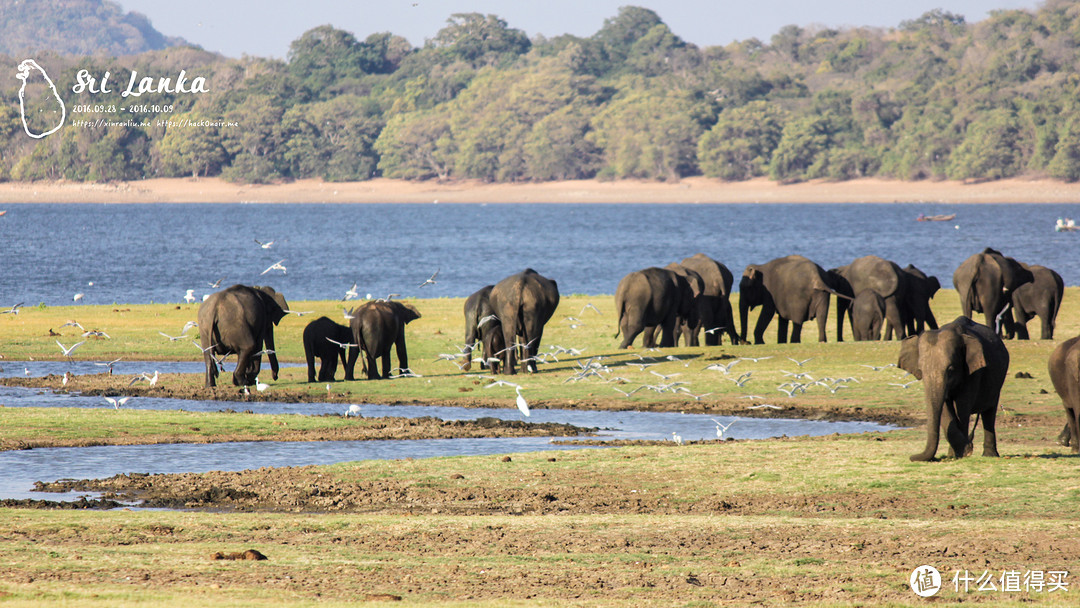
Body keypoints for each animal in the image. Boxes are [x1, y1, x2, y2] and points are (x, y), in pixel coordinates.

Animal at [898, 317, 1006, 464]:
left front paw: (964, 452)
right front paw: (957, 453)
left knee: (989, 412)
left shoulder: (973, 370)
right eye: (920, 370)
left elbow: (962, 406)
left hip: (997, 383)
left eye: (950, 369)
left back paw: (990, 455)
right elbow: (945, 406)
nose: (911, 457)